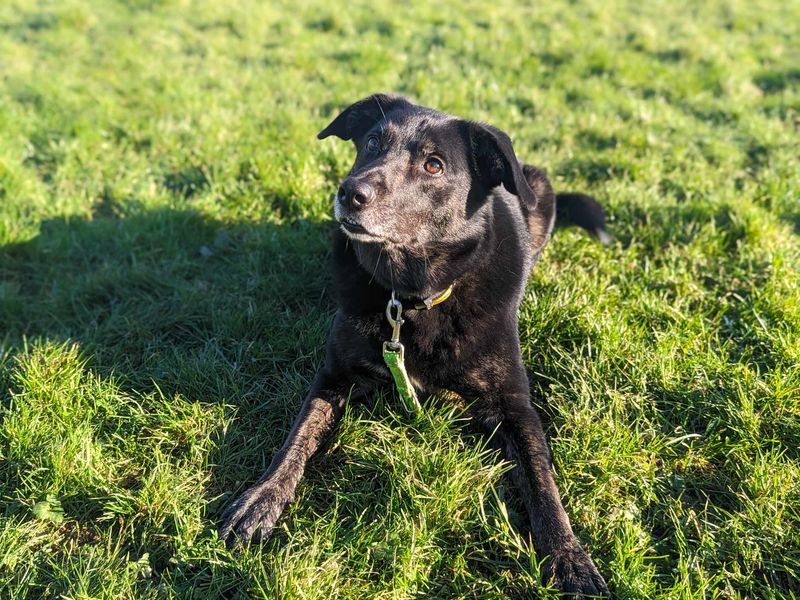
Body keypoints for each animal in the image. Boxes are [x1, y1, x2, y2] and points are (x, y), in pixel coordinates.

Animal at [222, 92, 608, 596]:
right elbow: (294, 441)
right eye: (370, 142)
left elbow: (542, 482)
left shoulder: (512, 403)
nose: (350, 193)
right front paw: (260, 498)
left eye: (433, 165)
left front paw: (569, 556)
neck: (411, 295)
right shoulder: (334, 376)